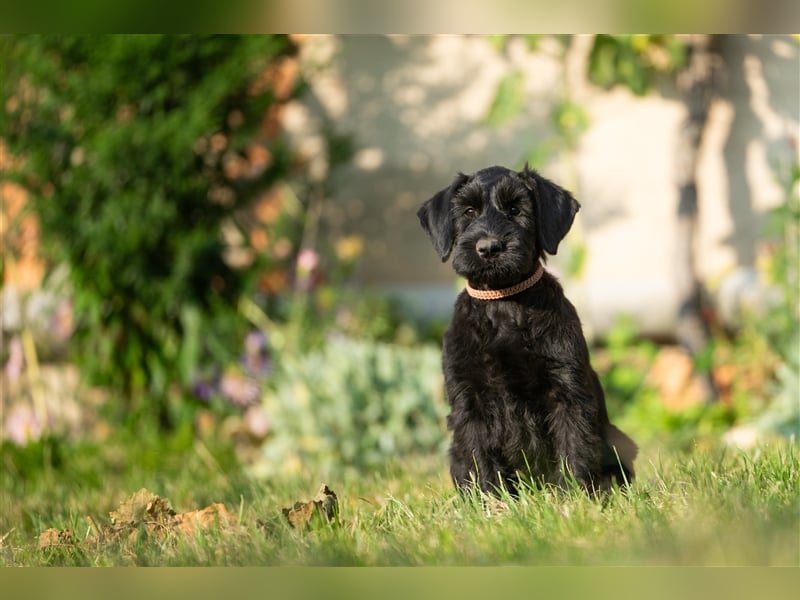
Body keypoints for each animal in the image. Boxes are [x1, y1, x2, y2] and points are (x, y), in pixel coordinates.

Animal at [418, 165, 636, 496]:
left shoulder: (567, 389)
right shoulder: (469, 399)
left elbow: (574, 445)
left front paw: (574, 497)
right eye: (468, 211)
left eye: (515, 209)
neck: (504, 302)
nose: (489, 247)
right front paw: (493, 501)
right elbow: (481, 456)